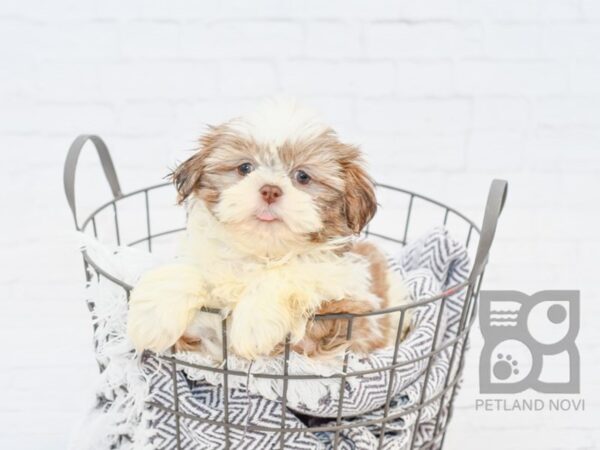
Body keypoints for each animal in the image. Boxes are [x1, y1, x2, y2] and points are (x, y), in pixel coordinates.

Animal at [124, 100, 410, 360]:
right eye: (245, 168)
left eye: (303, 176)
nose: (270, 190)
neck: (262, 252)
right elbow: (190, 269)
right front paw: (153, 317)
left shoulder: (349, 307)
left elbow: (288, 273)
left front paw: (254, 325)